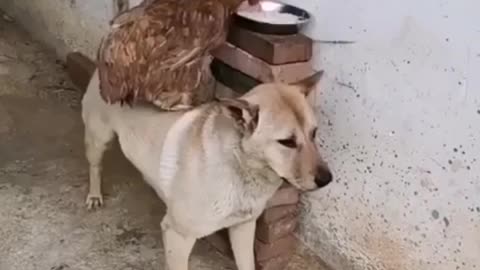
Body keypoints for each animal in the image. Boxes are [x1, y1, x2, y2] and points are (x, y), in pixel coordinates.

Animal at [80, 69, 332, 270]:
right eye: (287, 142)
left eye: (314, 133)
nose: (327, 179)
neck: (239, 167)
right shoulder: (177, 235)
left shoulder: (243, 228)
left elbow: (247, 264)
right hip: (98, 140)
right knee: (95, 166)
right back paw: (94, 195)